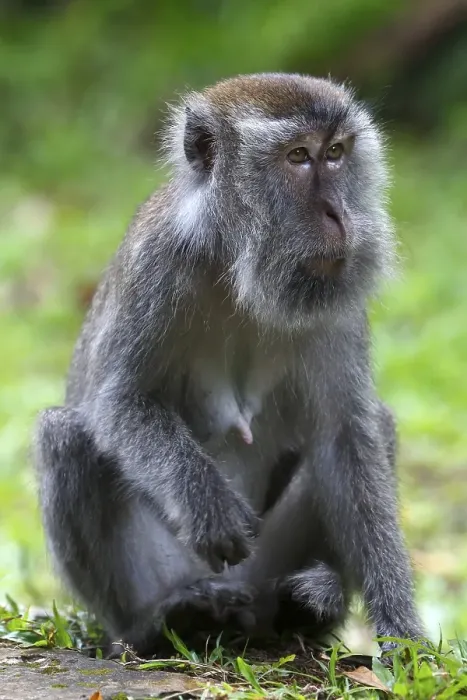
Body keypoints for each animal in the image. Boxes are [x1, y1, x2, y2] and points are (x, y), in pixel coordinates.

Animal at [33, 72, 424, 656]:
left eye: (335, 153)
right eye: (298, 156)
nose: (341, 217)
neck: (234, 261)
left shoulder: (337, 301)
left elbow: (346, 435)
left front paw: (402, 631)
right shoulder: (156, 264)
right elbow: (119, 401)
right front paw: (206, 503)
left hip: (264, 568)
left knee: (377, 424)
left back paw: (309, 603)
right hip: (164, 567)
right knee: (63, 435)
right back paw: (159, 622)